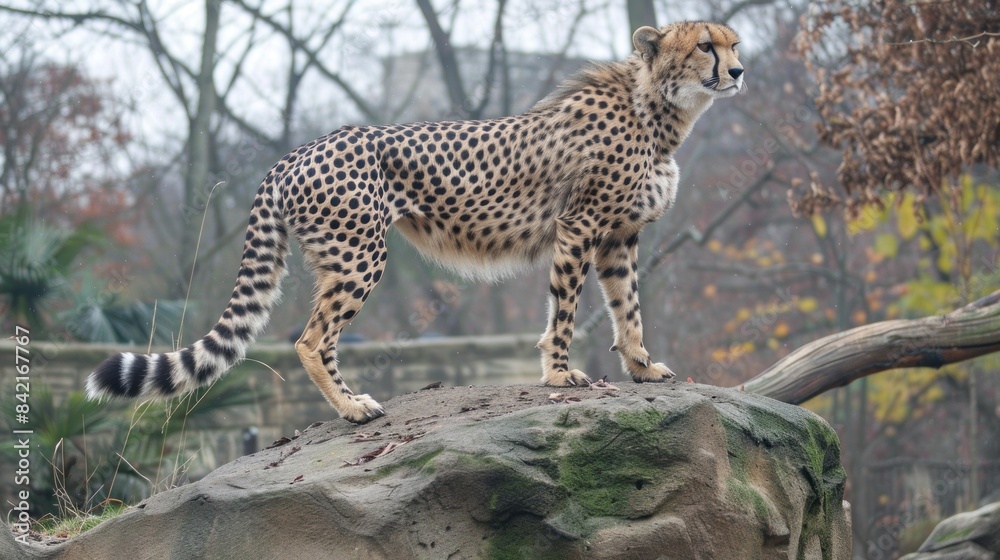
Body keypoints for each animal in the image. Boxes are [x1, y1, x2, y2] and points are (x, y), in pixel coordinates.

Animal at [87, 21, 745, 424]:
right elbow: (564, 311)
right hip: (361, 253)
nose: (739, 72)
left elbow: (628, 308)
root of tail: (294, 152)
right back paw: (350, 410)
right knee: (310, 338)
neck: (658, 109)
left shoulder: (619, 236)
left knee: (323, 337)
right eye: (705, 46)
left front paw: (642, 367)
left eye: (733, 44)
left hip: (343, 257)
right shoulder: (579, 228)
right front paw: (560, 376)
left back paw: (354, 402)